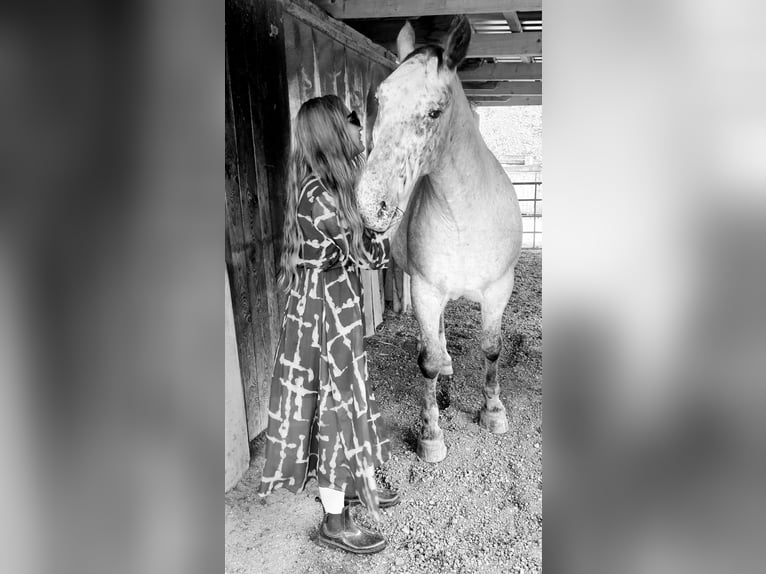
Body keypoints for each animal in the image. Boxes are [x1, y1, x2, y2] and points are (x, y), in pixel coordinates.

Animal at [356, 17, 523, 463]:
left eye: (434, 111)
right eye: (380, 100)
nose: (371, 205)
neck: (463, 215)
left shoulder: (499, 289)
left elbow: (492, 349)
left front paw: (493, 411)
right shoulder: (427, 290)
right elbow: (427, 364)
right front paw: (431, 434)